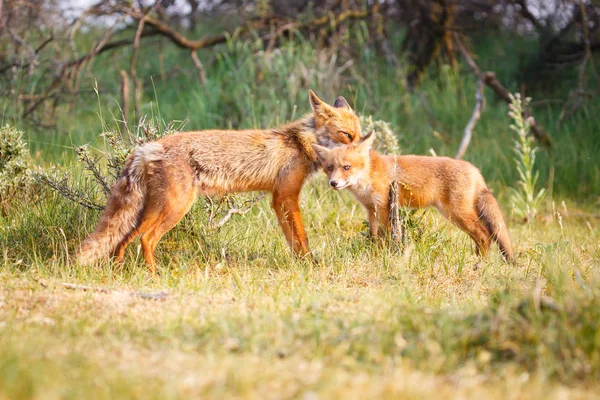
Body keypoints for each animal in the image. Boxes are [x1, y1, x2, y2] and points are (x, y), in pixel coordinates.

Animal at [77, 91, 364, 272]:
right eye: (346, 135)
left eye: (359, 134)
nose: (363, 151)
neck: (299, 144)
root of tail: (148, 146)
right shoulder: (287, 195)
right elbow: (302, 236)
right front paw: (310, 263)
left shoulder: (277, 199)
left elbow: (292, 239)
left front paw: (301, 262)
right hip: (173, 209)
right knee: (146, 239)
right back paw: (154, 273)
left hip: (151, 210)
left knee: (122, 239)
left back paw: (119, 271)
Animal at [312, 132, 512, 262]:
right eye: (330, 168)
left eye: (346, 167)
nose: (333, 183)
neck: (369, 175)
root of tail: (475, 170)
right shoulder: (371, 209)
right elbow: (374, 236)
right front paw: (374, 255)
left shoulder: (383, 206)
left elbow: (383, 236)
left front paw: (382, 256)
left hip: (457, 213)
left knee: (484, 234)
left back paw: (479, 264)